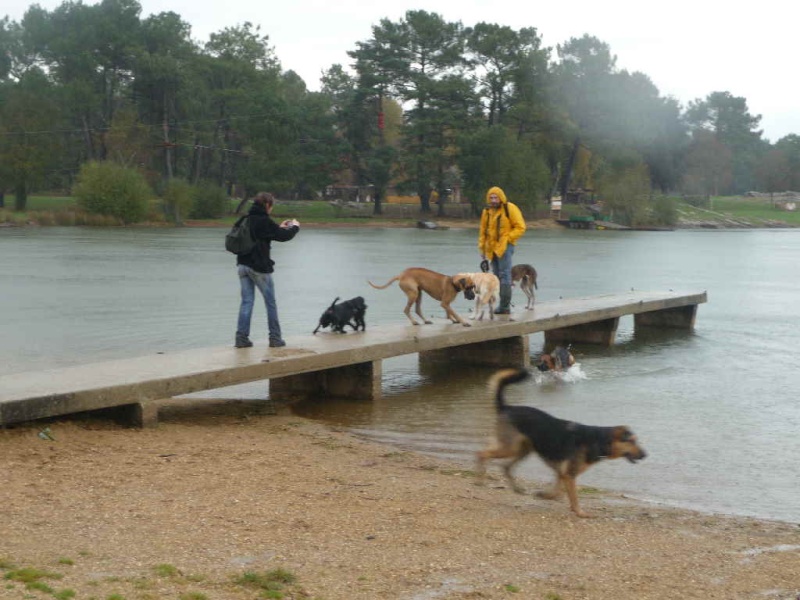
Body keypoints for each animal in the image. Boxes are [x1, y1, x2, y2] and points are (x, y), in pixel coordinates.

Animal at [478, 368, 648, 516]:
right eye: (632, 441)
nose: (645, 455)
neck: (598, 441)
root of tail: (506, 407)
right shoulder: (569, 475)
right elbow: (574, 496)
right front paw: (580, 513)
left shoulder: (562, 473)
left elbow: (558, 490)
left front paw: (546, 496)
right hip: (511, 448)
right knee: (482, 453)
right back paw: (480, 479)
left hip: (523, 450)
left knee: (505, 466)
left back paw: (517, 488)